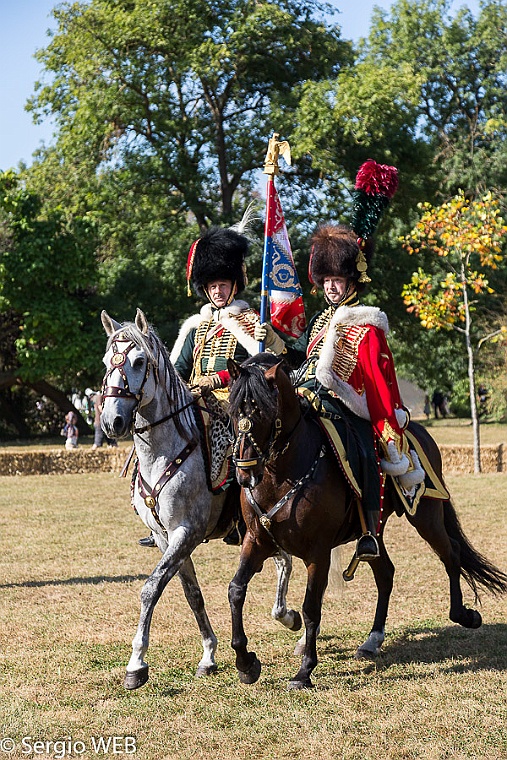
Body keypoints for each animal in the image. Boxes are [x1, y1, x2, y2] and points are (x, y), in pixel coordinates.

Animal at [227, 354, 507, 692]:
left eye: (262, 411)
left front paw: (304, 671)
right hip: (374, 532)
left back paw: (464, 615)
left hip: (426, 515)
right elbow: (236, 590)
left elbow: (310, 608)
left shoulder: (317, 553)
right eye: (233, 411)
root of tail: (417, 429)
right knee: (385, 573)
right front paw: (245, 663)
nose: (244, 473)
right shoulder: (256, 541)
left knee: (450, 554)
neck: (283, 475)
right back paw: (372, 640)